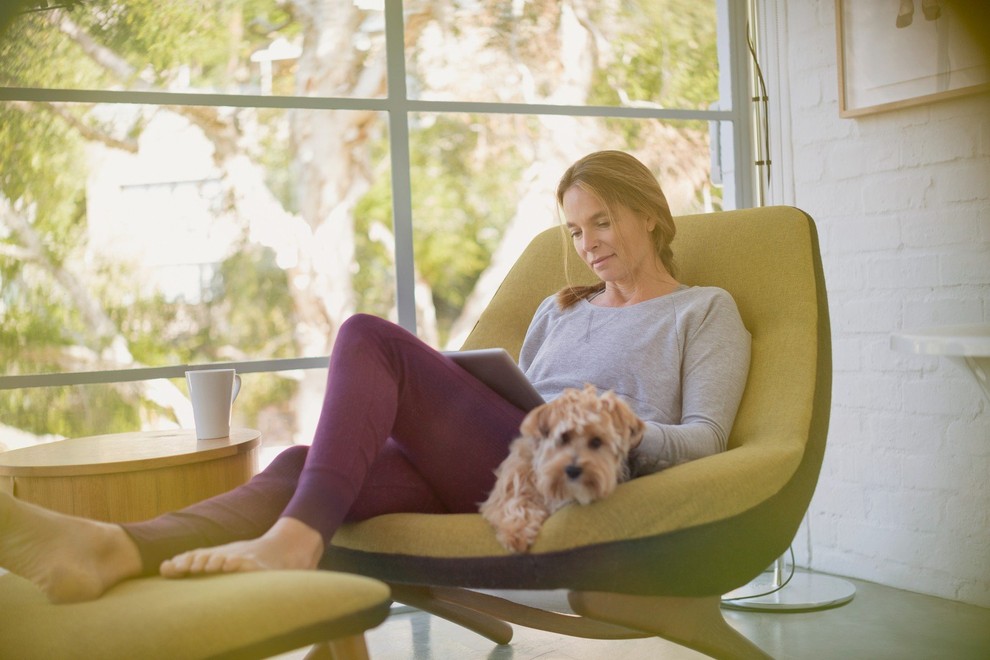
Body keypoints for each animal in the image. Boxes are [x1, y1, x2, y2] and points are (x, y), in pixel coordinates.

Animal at [482, 384, 652, 556]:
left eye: (596, 442)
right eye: (563, 437)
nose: (573, 470)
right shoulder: (514, 480)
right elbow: (513, 502)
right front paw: (517, 532)